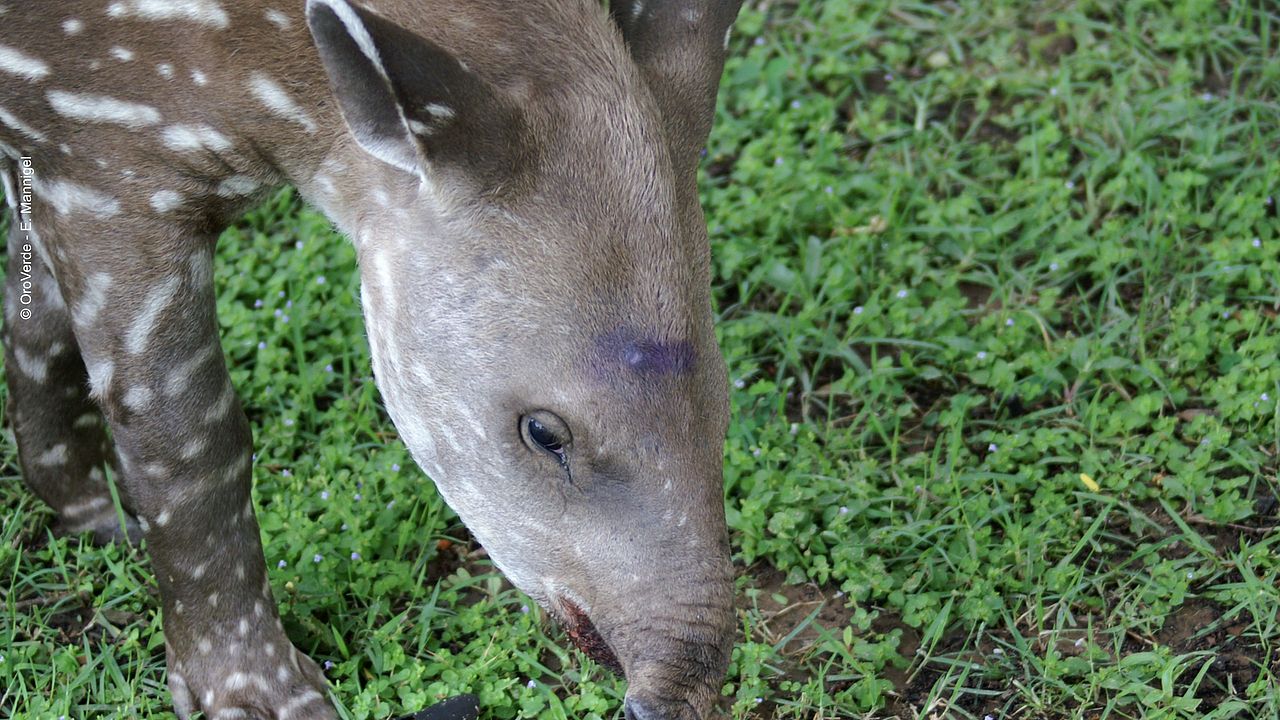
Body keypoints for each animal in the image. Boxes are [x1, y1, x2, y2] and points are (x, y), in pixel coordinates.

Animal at [0, 0, 747, 712]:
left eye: (725, 403)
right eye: (543, 432)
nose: (666, 703)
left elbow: (36, 324)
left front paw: (85, 508)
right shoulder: (107, 166)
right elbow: (192, 449)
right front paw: (256, 693)